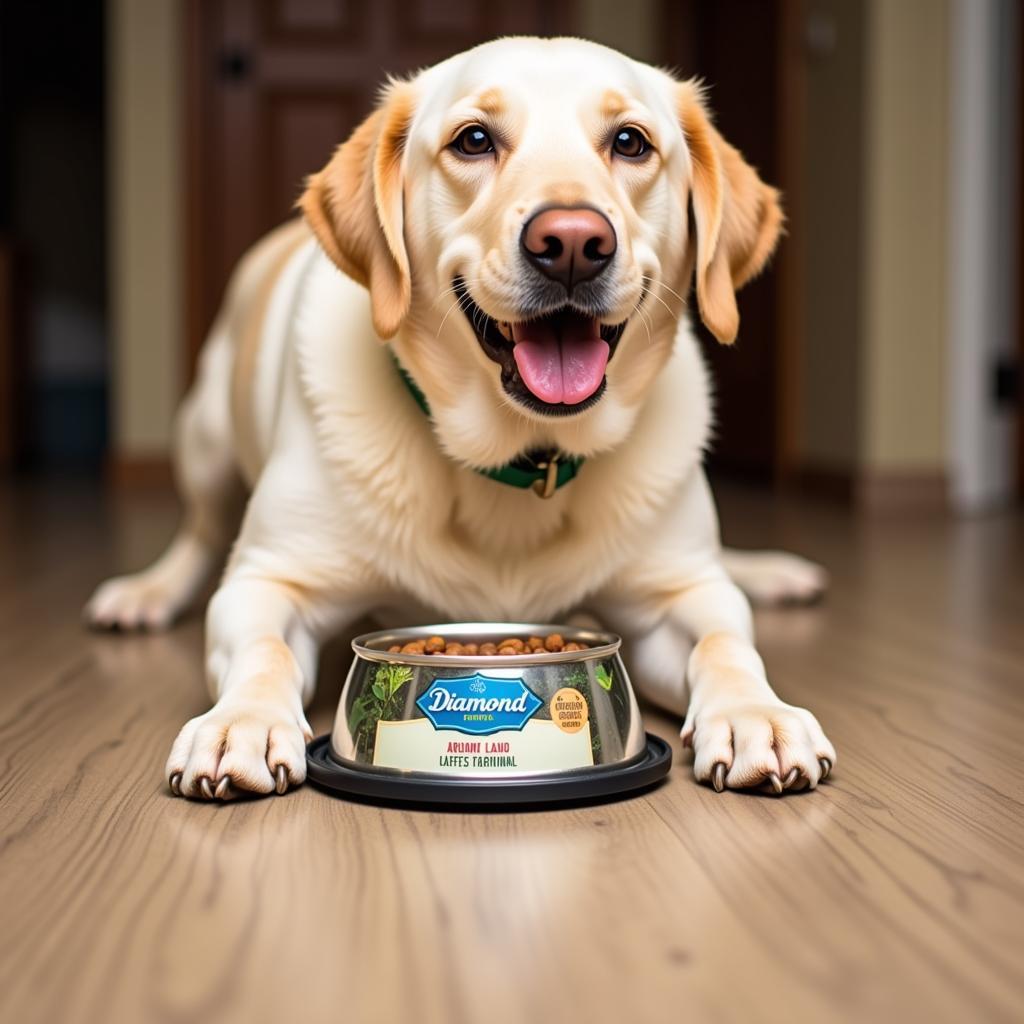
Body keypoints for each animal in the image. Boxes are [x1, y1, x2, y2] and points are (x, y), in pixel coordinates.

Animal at [86, 36, 831, 798]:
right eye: (473, 140)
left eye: (630, 142)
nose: (572, 243)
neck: (523, 457)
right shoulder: (268, 579)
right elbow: (265, 651)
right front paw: (242, 721)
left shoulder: (681, 594)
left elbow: (726, 644)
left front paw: (756, 713)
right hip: (204, 438)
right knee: (200, 532)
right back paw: (146, 591)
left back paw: (771, 573)